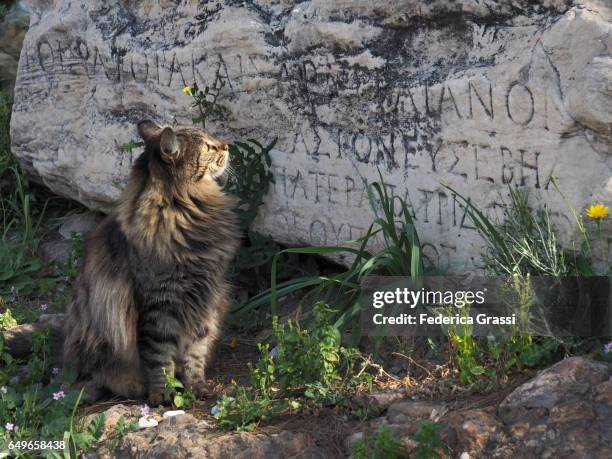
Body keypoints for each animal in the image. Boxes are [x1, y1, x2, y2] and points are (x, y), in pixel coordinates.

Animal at [62, 120, 239, 404]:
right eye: (208, 146)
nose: (226, 145)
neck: (188, 210)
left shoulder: (204, 300)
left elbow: (195, 352)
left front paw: (197, 386)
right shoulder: (159, 306)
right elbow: (159, 359)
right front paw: (162, 394)